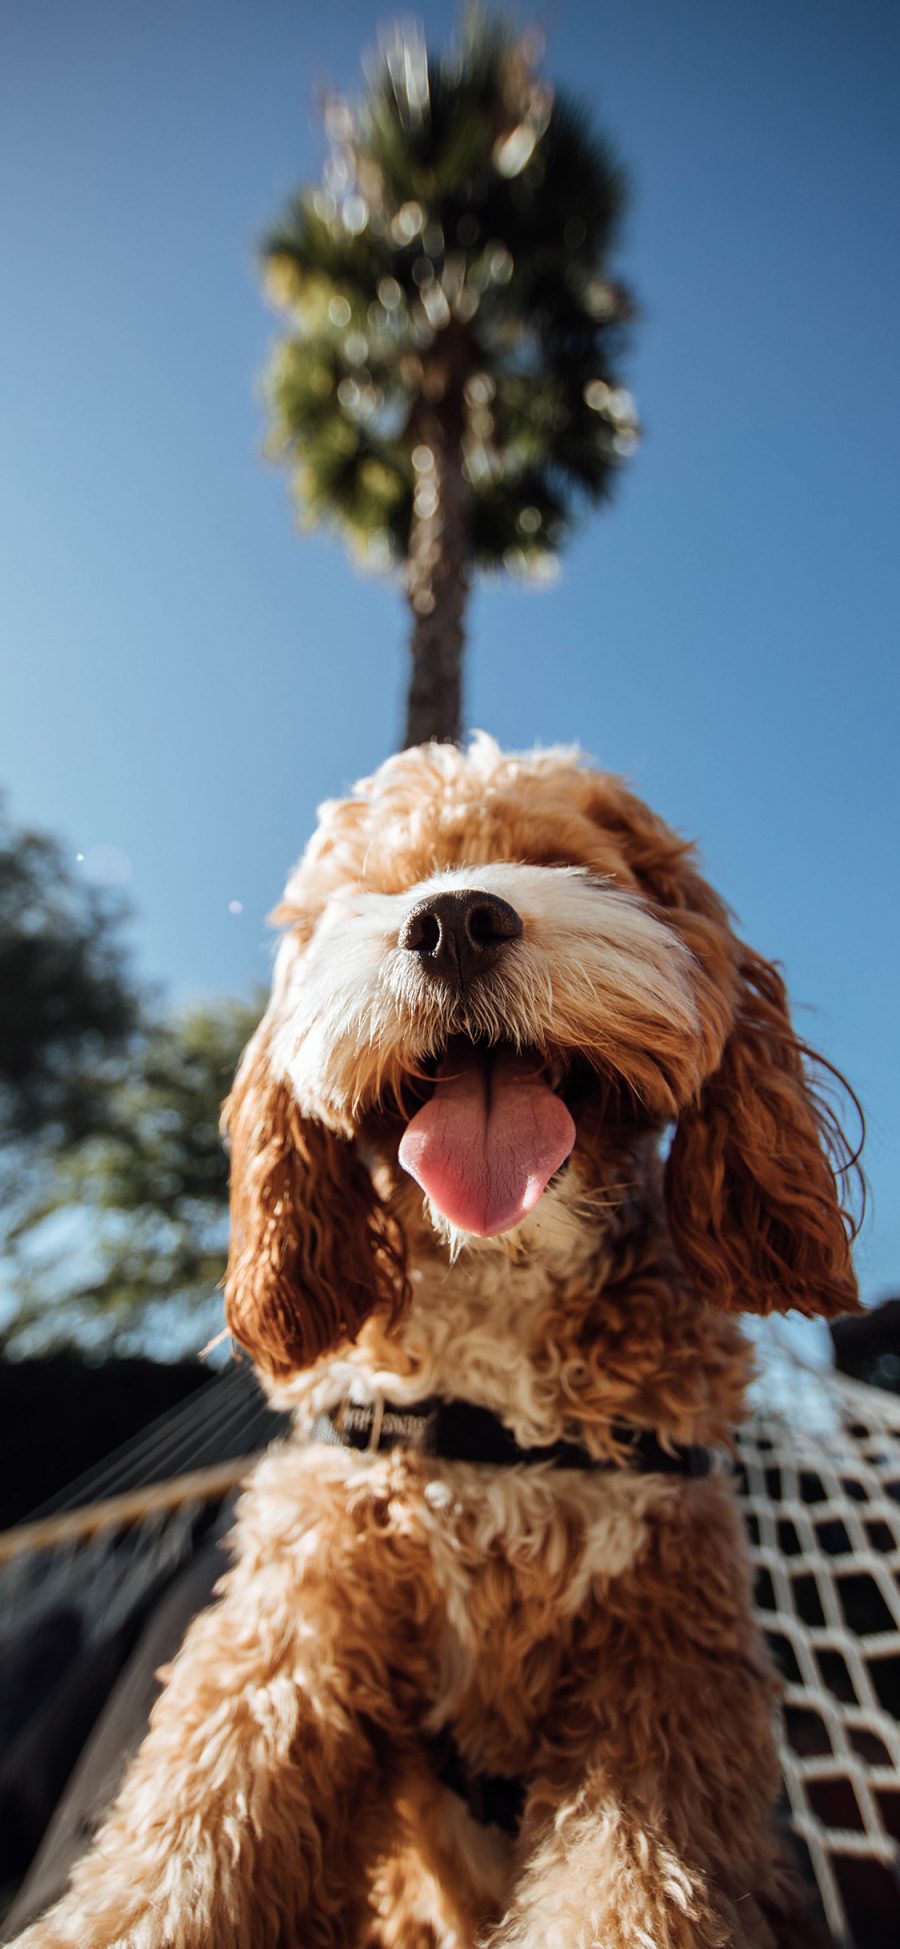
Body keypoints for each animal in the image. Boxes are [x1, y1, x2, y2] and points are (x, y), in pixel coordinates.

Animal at [12, 732, 857, 1949]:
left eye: (561, 858)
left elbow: (635, 1887)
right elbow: (186, 1851)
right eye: (377, 888)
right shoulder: (292, 1641)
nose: (453, 919)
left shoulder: (660, 1674)